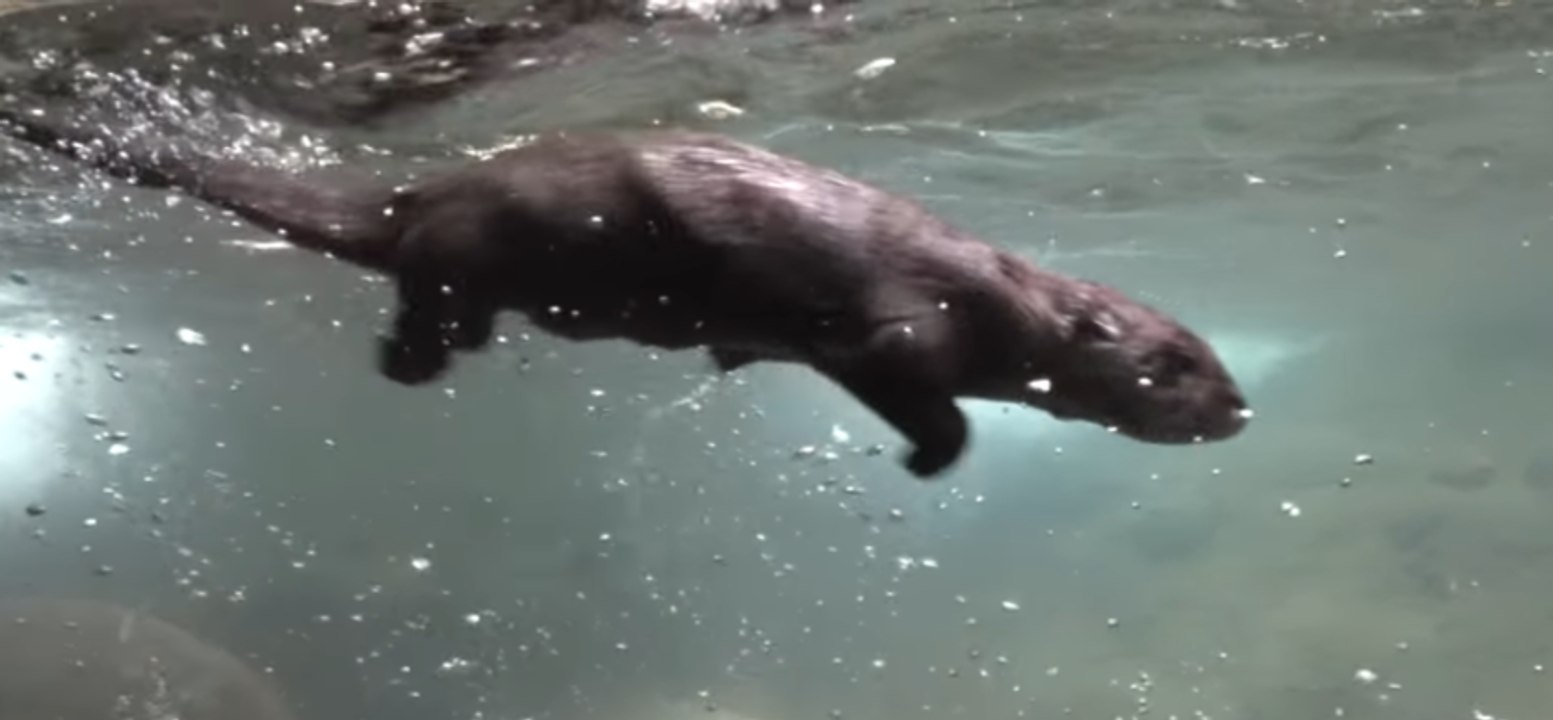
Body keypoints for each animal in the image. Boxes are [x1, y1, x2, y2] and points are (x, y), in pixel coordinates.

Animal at [0, 102, 1250, 477]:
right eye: (1177, 363)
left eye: (1211, 363)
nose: (1240, 407)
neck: (1002, 302)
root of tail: (414, 190)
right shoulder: (905, 325)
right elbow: (906, 382)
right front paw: (925, 455)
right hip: (476, 240)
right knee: (424, 296)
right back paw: (412, 359)